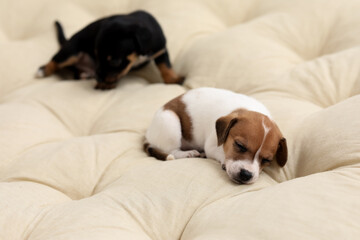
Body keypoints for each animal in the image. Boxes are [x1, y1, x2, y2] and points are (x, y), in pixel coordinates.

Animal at [35, 9, 184, 90]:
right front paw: (104, 84)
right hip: (71, 52)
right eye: (96, 56)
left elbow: (165, 66)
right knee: (55, 60)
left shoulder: (161, 50)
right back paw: (43, 70)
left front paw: (173, 79)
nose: (98, 78)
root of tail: (68, 40)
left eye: (114, 61)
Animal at [143, 87, 286, 184]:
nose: (246, 174)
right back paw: (188, 153)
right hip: (170, 122)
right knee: (172, 151)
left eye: (267, 160)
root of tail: (148, 134)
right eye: (239, 146)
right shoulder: (211, 146)